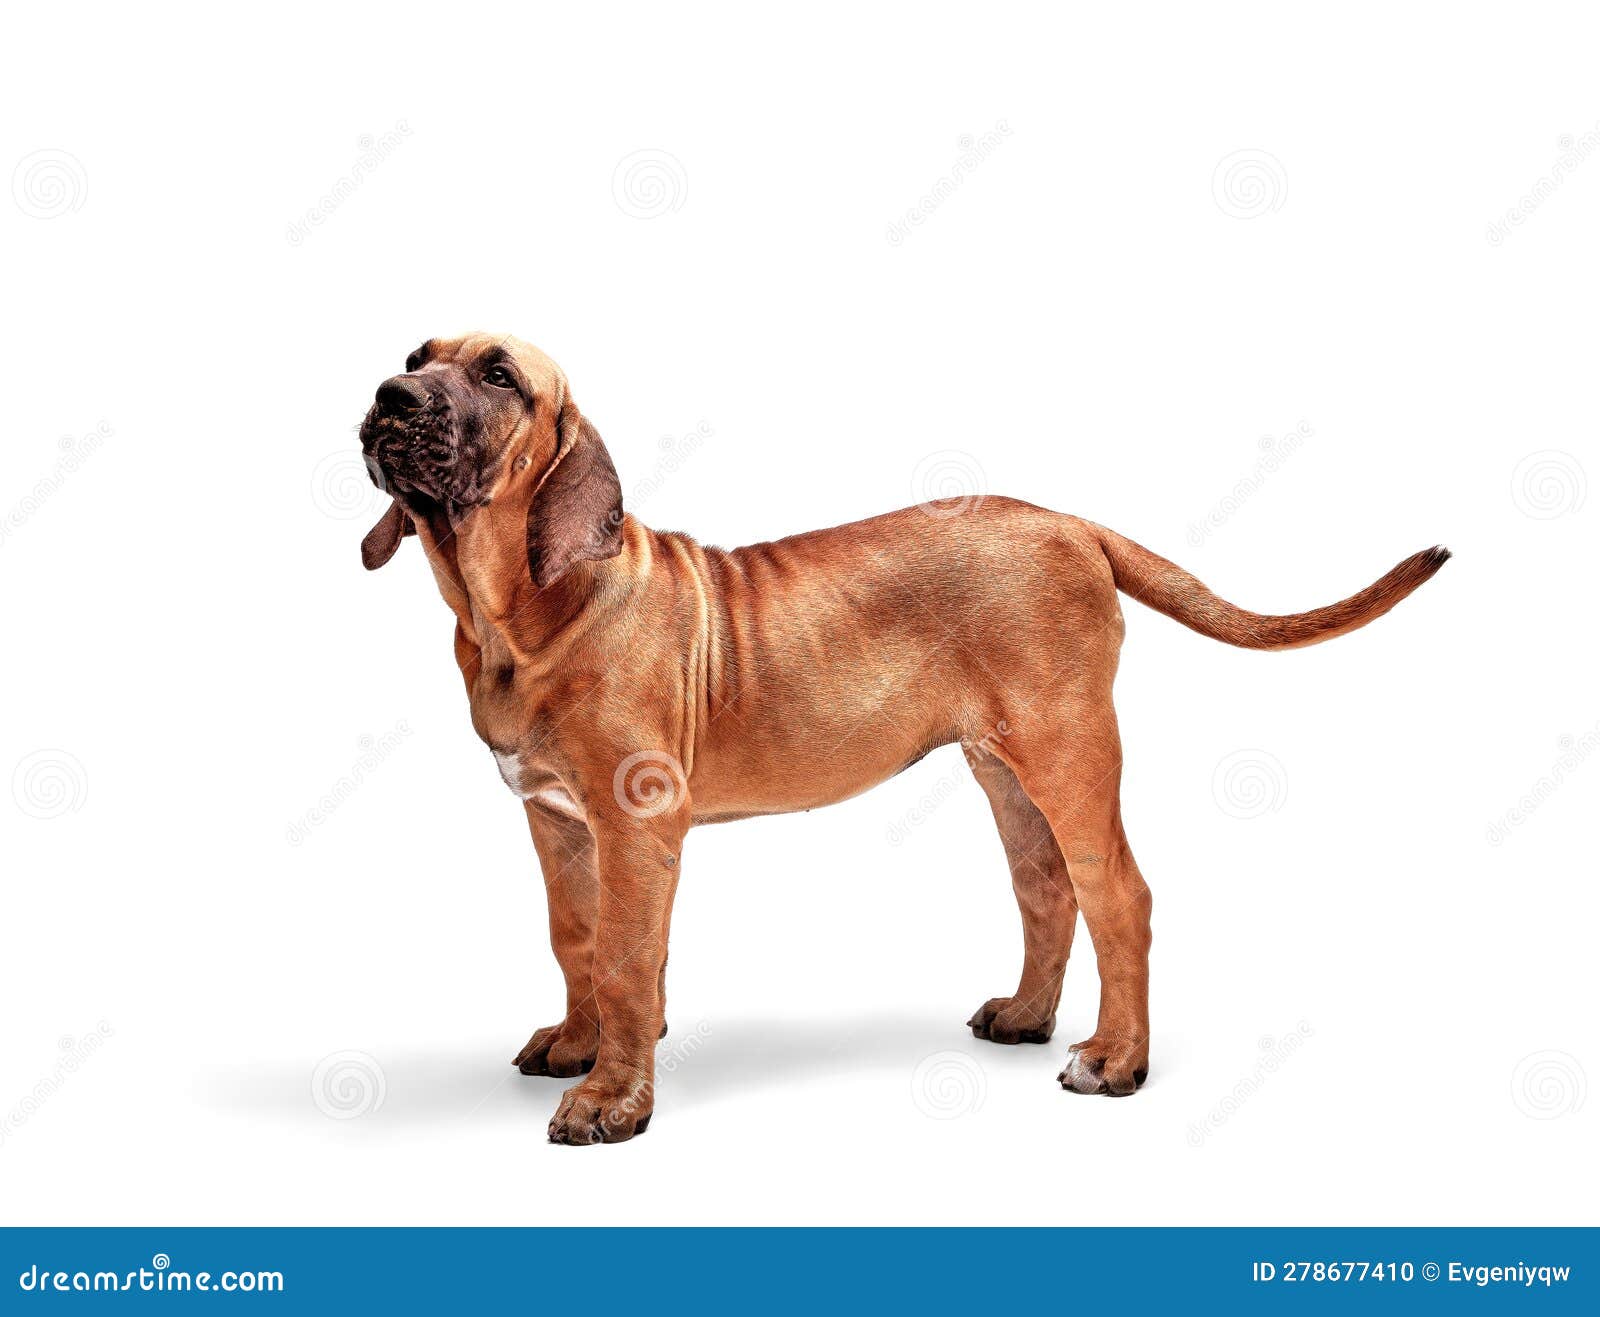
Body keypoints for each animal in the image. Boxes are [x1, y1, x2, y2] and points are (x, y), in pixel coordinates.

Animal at [360, 332, 1452, 1145]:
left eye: (498, 374)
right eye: (418, 353)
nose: (389, 395)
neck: (513, 609)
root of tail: (1073, 523)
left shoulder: (635, 822)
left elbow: (629, 956)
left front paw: (612, 1100)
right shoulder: (557, 820)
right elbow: (576, 937)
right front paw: (581, 1044)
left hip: (1069, 749)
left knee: (1120, 896)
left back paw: (1115, 1058)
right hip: (1003, 766)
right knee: (1047, 890)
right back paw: (1026, 1017)